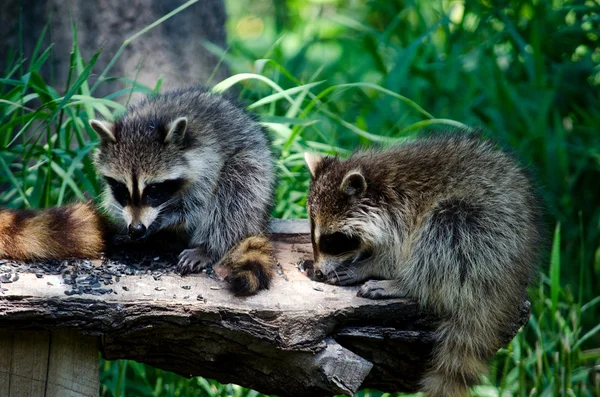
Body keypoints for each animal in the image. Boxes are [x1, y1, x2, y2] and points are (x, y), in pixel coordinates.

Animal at [304, 133, 544, 396]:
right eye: (314, 234)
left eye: (332, 240)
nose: (318, 271)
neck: (380, 187)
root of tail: (513, 271)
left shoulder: (404, 215)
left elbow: (394, 257)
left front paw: (368, 266)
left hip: (486, 230)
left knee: (444, 232)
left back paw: (405, 285)